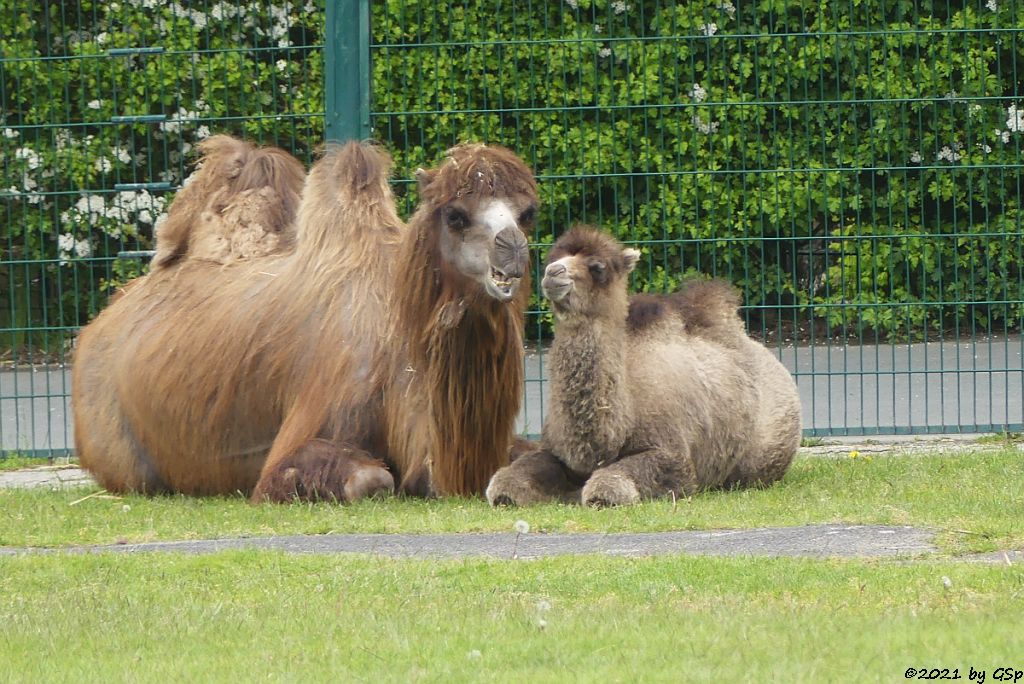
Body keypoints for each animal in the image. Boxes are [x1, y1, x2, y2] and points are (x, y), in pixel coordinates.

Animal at [483, 227, 802, 505]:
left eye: (598, 267)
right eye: (551, 258)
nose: (554, 273)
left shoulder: (673, 457)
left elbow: (609, 485)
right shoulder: (556, 451)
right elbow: (504, 483)